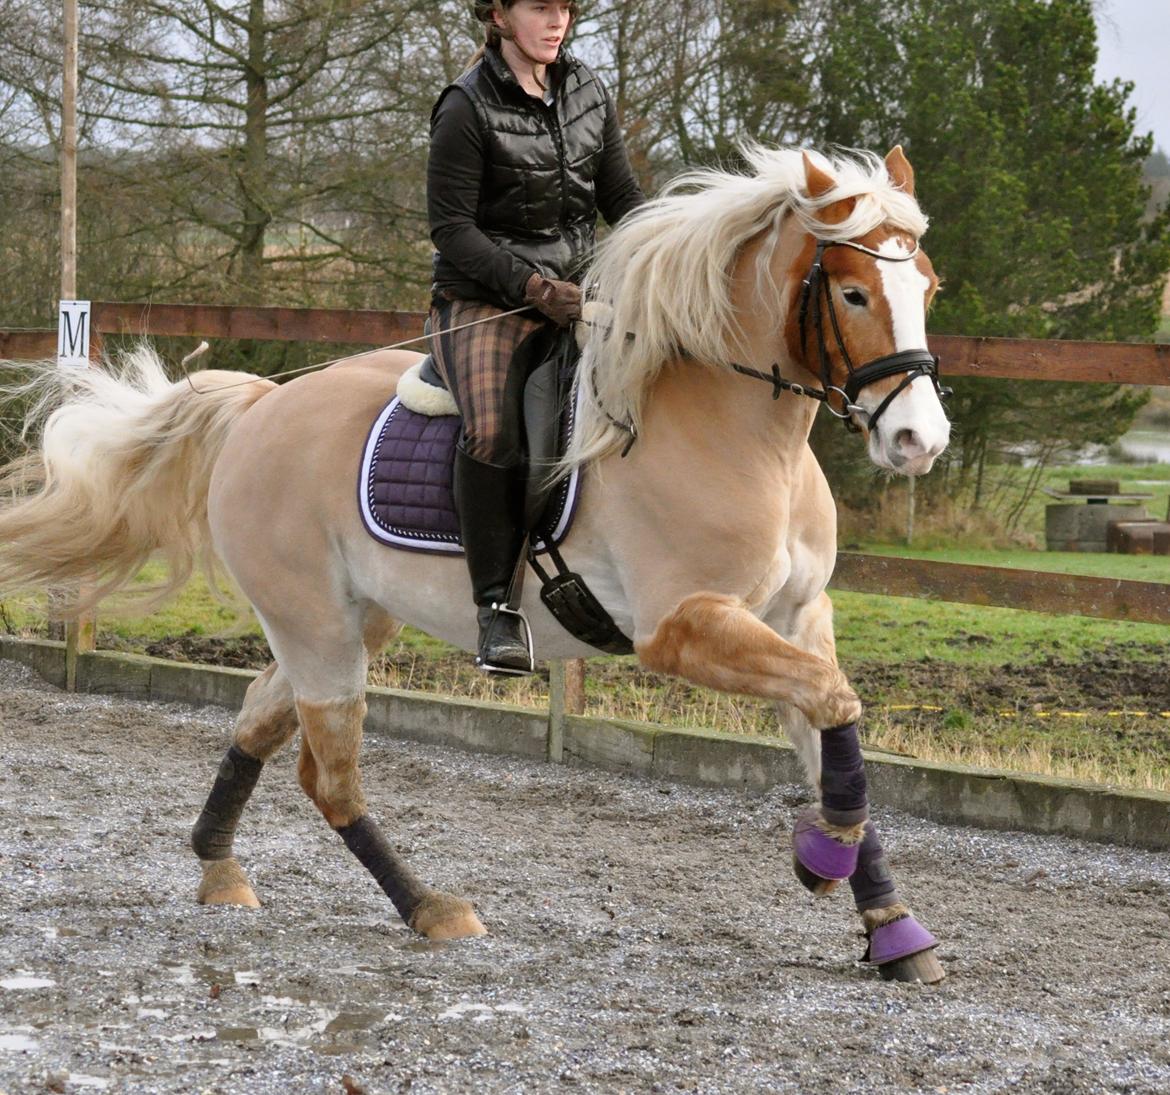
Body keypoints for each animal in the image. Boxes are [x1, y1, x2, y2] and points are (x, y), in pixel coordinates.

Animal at [0, 143, 950, 982]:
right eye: (855, 290)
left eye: (928, 287)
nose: (919, 440)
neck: (737, 433)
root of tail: (262, 405)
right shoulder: (684, 626)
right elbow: (833, 702)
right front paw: (822, 853)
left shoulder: (799, 614)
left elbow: (828, 721)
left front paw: (892, 927)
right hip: (316, 628)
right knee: (331, 778)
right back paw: (429, 907)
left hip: (349, 621)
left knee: (259, 722)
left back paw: (219, 868)